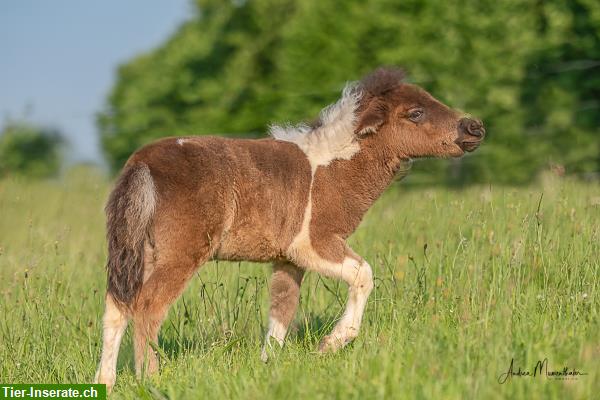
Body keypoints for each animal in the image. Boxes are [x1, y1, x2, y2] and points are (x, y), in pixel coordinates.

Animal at [96, 67, 486, 390]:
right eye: (415, 113)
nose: (475, 128)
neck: (332, 170)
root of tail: (141, 164)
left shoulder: (288, 259)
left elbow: (282, 309)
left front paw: (268, 367)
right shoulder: (312, 243)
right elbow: (364, 274)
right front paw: (331, 344)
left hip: (138, 250)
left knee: (117, 304)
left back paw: (106, 382)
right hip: (181, 252)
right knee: (148, 305)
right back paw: (150, 379)